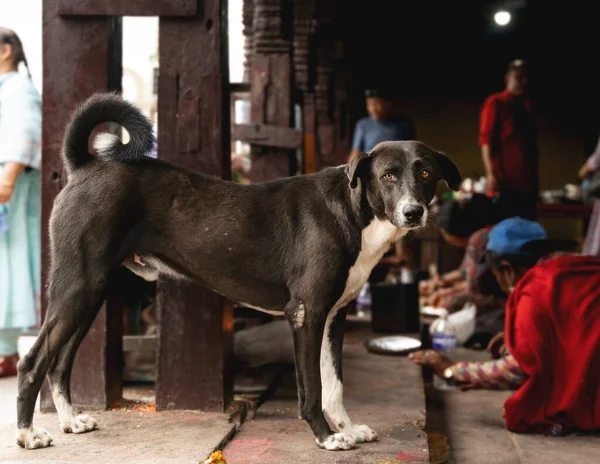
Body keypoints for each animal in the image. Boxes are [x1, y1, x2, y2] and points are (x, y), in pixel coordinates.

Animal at [16, 92, 462, 452]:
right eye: (388, 175)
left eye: (425, 173)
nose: (413, 212)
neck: (351, 211)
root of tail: (86, 164)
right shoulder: (306, 313)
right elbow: (313, 388)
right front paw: (325, 436)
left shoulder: (334, 316)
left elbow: (334, 383)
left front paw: (347, 429)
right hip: (78, 287)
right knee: (33, 360)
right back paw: (27, 434)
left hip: (94, 292)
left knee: (59, 361)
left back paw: (70, 420)